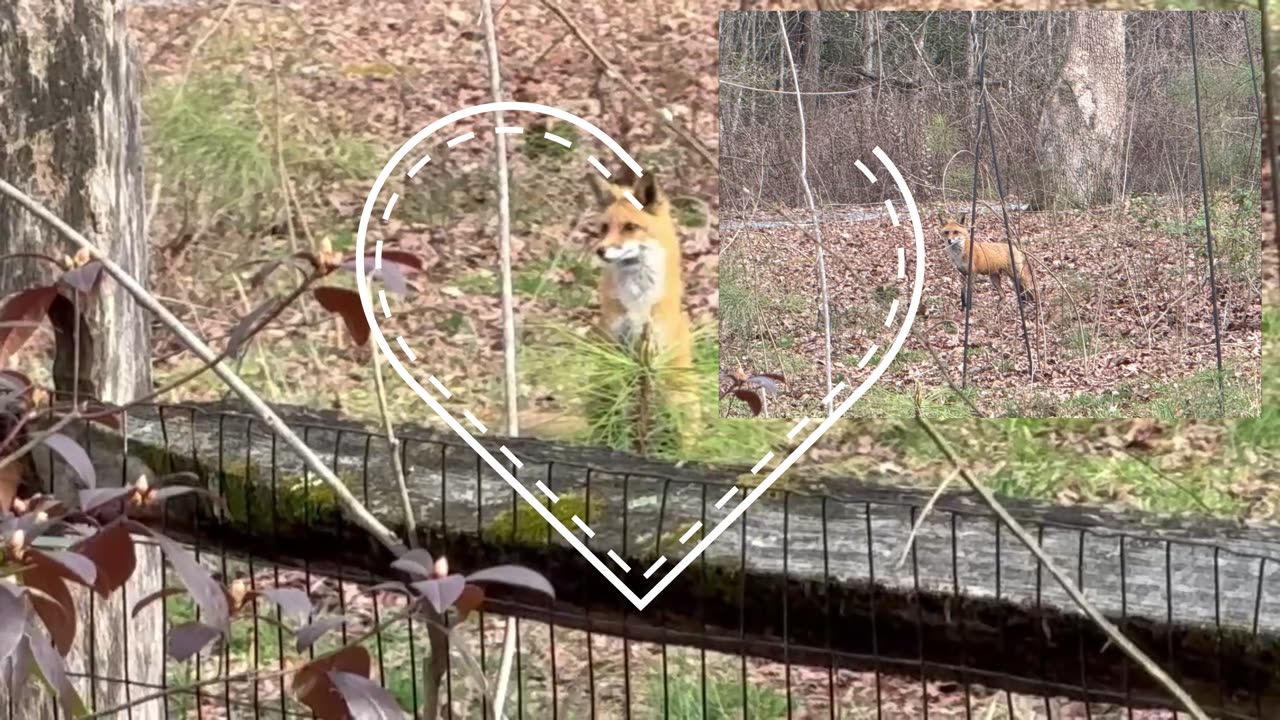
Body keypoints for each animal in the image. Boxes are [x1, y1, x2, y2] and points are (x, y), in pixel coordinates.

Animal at [589, 169, 698, 442]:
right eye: (604, 228)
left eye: (629, 227)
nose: (600, 251)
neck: (637, 301)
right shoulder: (614, 342)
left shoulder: (653, 349)